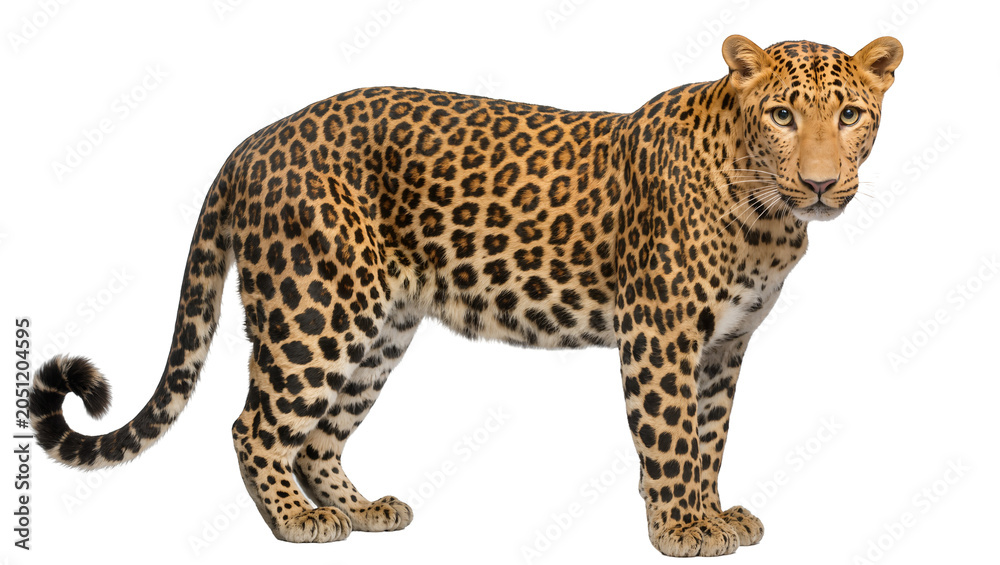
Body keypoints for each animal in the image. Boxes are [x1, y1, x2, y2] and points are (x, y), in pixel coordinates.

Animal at [30, 35, 902, 557]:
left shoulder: (723, 345)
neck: (768, 215)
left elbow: (710, 437)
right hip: (317, 309)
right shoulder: (660, 335)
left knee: (317, 437)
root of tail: (254, 141)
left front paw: (714, 513)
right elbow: (670, 440)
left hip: (380, 326)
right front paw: (682, 527)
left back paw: (361, 508)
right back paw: (298, 521)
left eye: (850, 114)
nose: (820, 183)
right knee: (255, 425)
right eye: (782, 114)